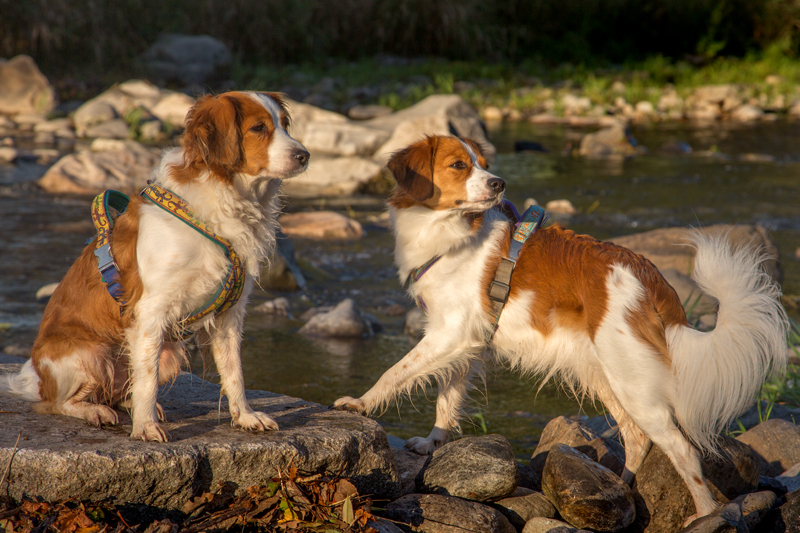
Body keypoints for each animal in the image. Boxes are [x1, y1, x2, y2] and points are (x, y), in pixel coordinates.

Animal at [1, 90, 310, 440]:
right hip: (89, 355)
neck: (221, 202)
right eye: (258, 128)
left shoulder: (229, 314)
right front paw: (146, 428)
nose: (304, 155)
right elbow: (147, 381)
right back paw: (96, 410)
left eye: (284, 125)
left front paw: (244, 416)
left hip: (170, 354)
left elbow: (235, 373)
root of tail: (38, 378)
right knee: (59, 403)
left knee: (122, 391)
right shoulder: (150, 312)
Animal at [334, 134, 792, 520]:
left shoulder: (451, 333)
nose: (499, 183)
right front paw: (434, 442)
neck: (449, 232)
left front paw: (360, 403)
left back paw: (704, 514)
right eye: (459, 165)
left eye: (484, 165)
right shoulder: (465, 339)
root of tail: (650, 276)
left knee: (682, 449)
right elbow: (447, 396)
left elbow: (395, 373)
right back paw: (617, 490)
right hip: (609, 375)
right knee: (636, 437)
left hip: (634, 383)